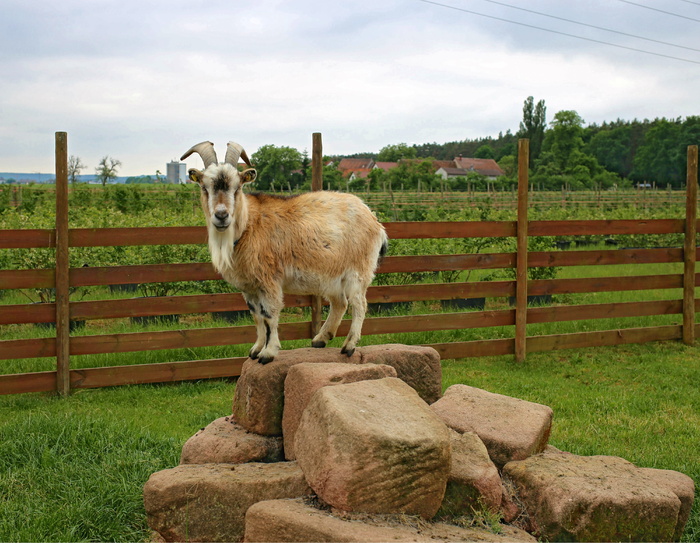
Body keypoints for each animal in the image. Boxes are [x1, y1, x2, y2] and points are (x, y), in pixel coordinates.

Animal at [180, 142, 388, 366]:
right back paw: (320, 339)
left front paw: (268, 353)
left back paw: (349, 346)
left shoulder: (268, 279)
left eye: (237, 188)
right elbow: (257, 316)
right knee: (340, 303)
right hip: (332, 275)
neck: (248, 225)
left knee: (359, 304)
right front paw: (255, 349)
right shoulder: (249, 286)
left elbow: (269, 314)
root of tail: (375, 221)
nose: (221, 215)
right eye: (204, 187)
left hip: (358, 270)